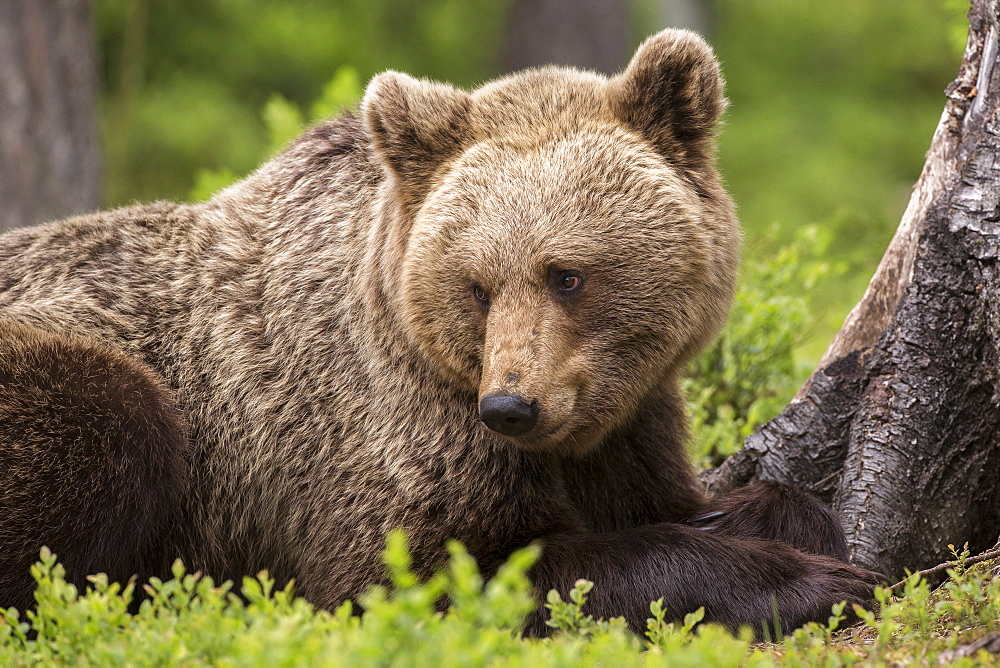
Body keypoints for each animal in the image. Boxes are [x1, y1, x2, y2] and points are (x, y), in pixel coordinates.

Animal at [0, 30, 876, 636]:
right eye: (477, 285)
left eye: (567, 275)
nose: (512, 406)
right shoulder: (380, 434)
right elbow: (444, 571)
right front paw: (807, 581)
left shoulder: (630, 417)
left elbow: (673, 492)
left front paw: (772, 516)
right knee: (116, 423)